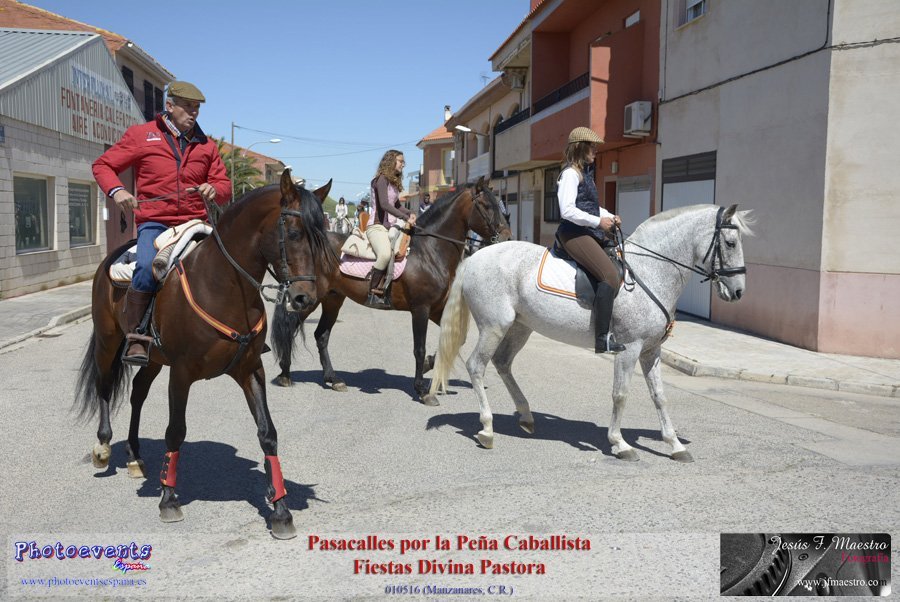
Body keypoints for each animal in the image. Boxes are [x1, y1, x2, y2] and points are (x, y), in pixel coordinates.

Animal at [74, 170, 338, 539]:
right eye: (295, 233)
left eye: (322, 240)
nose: (305, 298)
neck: (221, 284)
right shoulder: (182, 373)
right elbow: (175, 431)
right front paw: (169, 499)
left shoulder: (250, 369)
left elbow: (268, 433)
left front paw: (280, 509)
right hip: (108, 341)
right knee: (104, 386)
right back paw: (103, 447)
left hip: (153, 359)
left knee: (138, 393)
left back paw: (135, 456)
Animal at [271, 179, 511, 401]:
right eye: (487, 206)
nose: (508, 238)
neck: (429, 251)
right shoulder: (421, 309)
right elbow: (419, 348)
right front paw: (422, 390)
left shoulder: (436, 309)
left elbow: (458, 339)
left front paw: (429, 365)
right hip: (308, 299)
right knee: (290, 326)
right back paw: (285, 374)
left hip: (333, 299)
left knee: (321, 335)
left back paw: (333, 379)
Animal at [427, 204, 753, 459]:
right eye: (730, 243)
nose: (738, 292)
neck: (649, 272)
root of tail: (475, 258)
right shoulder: (630, 348)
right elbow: (620, 394)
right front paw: (620, 444)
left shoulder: (651, 350)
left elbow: (659, 395)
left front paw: (675, 445)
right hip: (494, 326)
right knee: (476, 366)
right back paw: (487, 428)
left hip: (520, 327)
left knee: (502, 363)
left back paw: (527, 416)